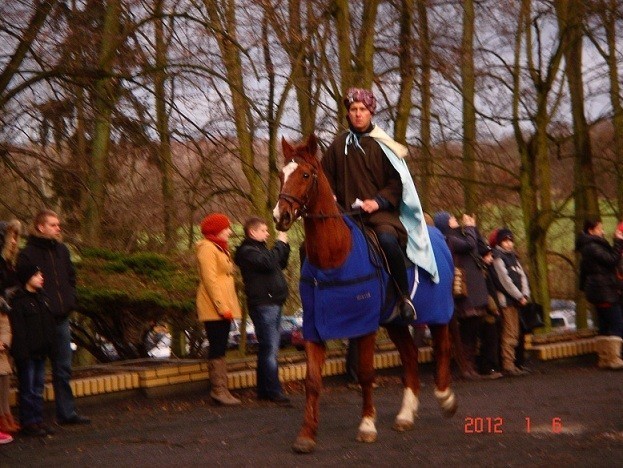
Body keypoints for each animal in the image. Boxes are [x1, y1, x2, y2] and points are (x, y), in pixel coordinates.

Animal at [272, 134, 458, 454]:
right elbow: (312, 380)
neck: (335, 255)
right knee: (410, 356)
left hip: (437, 313)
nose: (280, 216)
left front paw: (367, 425)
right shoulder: (313, 328)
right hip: (395, 322)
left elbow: (367, 374)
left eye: (305, 175)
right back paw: (406, 414)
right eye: (283, 174)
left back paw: (445, 398)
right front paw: (306, 434)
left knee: (442, 348)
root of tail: (438, 233)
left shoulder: (365, 326)